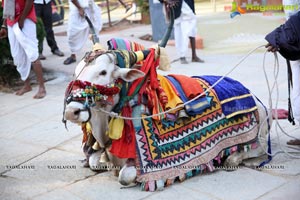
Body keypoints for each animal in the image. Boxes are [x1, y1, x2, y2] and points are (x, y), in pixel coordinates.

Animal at [61, 6, 272, 191]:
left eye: (103, 72)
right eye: (76, 72)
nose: (72, 111)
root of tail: (254, 96)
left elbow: (125, 177)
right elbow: (93, 161)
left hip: (259, 136)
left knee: (259, 151)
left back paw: (232, 159)